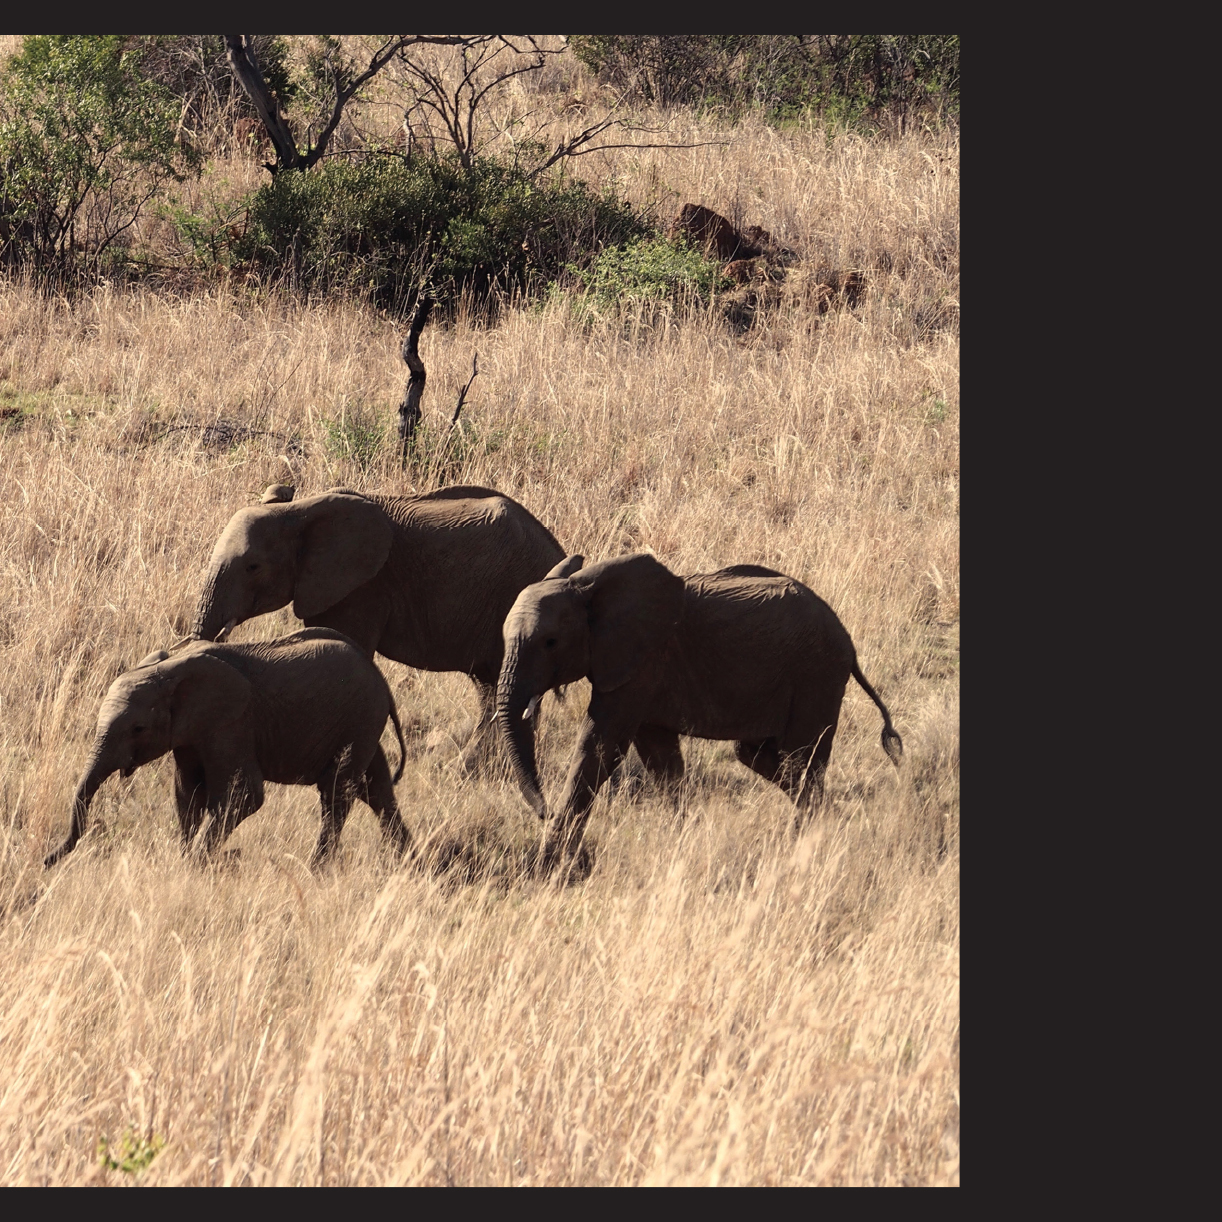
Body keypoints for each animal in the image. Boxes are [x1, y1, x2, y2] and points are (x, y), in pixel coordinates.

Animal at [45, 630, 413, 870]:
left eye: (138, 729)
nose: (47, 859)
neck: (170, 669)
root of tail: (380, 677)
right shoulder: (190, 732)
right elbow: (187, 794)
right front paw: (186, 859)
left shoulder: (231, 723)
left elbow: (244, 794)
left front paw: (195, 867)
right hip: (361, 723)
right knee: (374, 786)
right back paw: (410, 861)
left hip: (360, 716)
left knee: (338, 790)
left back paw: (316, 870)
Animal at [491, 554, 904, 870]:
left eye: (550, 642)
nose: (543, 811)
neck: (587, 587)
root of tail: (847, 640)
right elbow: (660, 759)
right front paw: (682, 839)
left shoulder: (642, 663)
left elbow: (599, 748)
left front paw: (548, 862)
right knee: (761, 756)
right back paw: (830, 820)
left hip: (816, 674)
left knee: (801, 758)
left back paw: (804, 841)